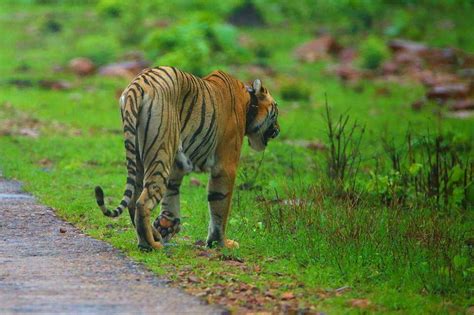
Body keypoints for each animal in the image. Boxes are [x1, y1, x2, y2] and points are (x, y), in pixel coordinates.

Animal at [94, 66, 280, 252]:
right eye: (276, 109)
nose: (278, 129)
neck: (249, 103)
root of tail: (137, 85)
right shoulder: (225, 166)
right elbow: (220, 206)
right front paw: (220, 243)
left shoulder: (177, 165)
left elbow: (171, 198)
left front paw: (167, 225)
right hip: (161, 153)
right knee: (142, 202)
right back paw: (151, 245)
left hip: (139, 157)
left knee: (133, 200)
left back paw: (154, 236)